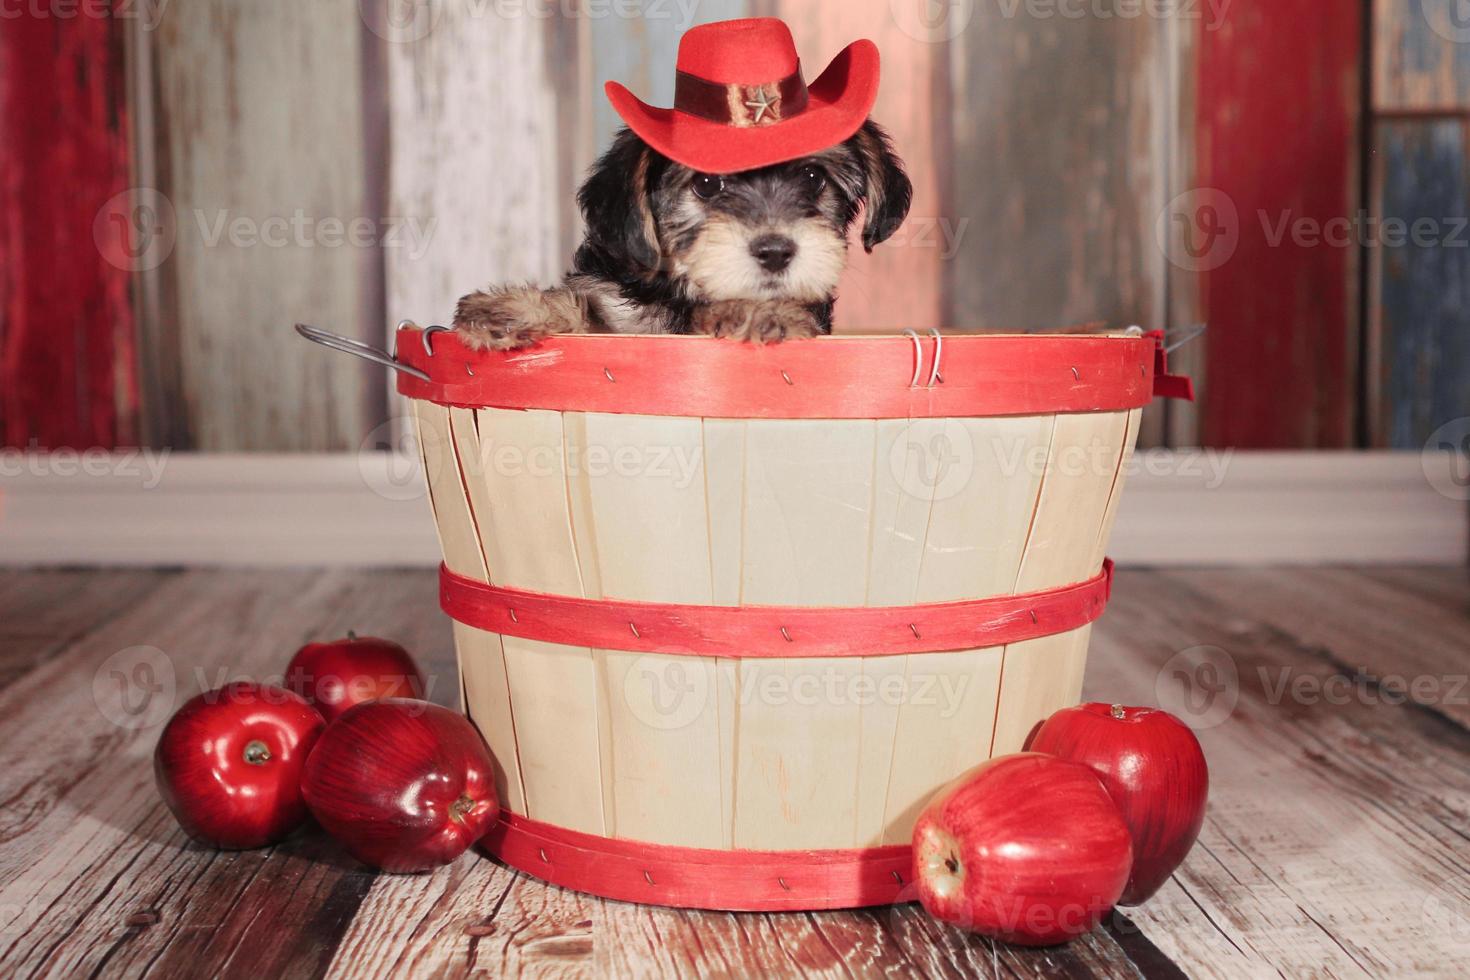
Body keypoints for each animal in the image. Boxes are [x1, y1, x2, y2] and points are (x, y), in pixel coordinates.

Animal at [449, 119, 905, 351]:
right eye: (705, 182)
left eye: (813, 177)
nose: (776, 251)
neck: (683, 301)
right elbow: (588, 311)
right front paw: (513, 310)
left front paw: (762, 312)